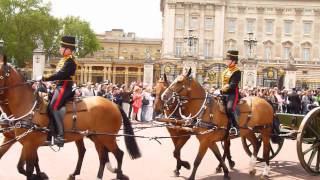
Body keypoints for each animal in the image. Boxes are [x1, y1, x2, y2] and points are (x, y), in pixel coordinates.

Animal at [0, 61, 141, 179]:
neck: (28, 106)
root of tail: (113, 104)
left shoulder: (30, 144)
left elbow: (27, 168)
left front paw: (38, 174)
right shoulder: (23, 142)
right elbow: (23, 166)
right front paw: (40, 174)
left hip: (107, 137)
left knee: (118, 154)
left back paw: (118, 175)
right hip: (96, 136)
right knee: (101, 155)